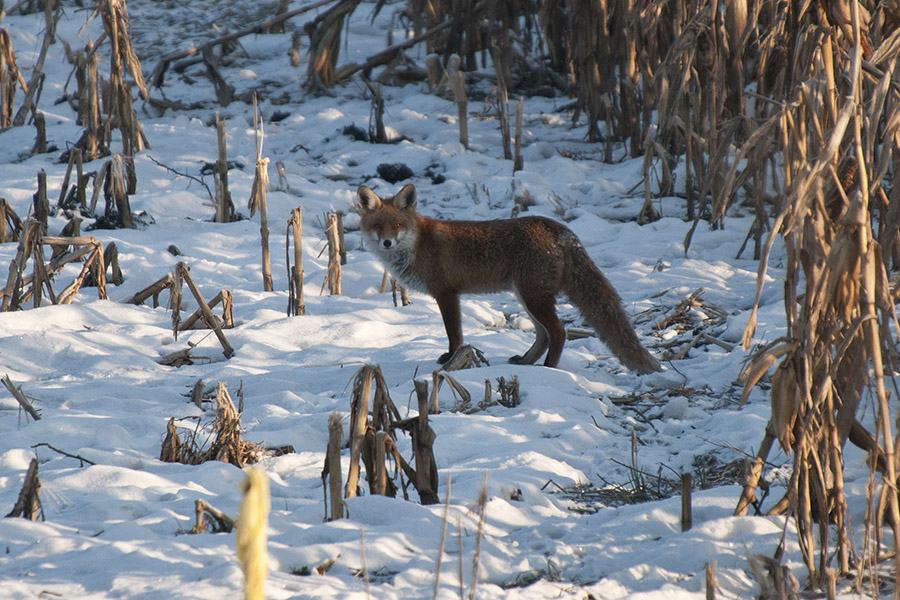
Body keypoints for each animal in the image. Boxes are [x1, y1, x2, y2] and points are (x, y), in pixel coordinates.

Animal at [356, 183, 660, 372]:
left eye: (398, 225)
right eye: (377, 226)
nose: (387, 243)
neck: (417, 244)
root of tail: (561, 229)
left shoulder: (447, 293)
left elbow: (454, 334)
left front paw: (450, 360)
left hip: (533, 297)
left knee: (558, 332)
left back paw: (548, 369)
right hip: (527, 296)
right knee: (544, 335)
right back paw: (526, 363)